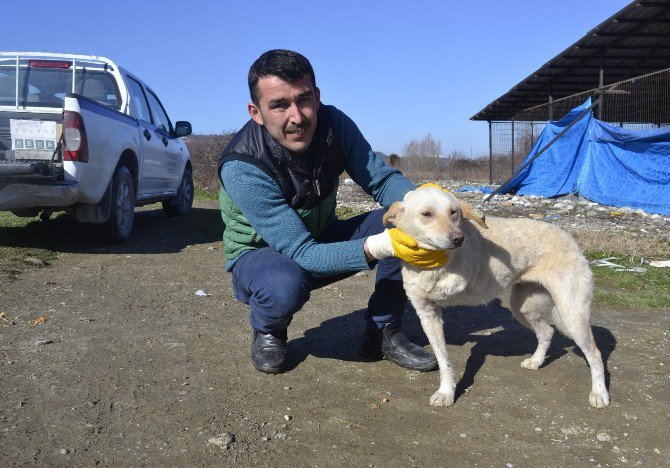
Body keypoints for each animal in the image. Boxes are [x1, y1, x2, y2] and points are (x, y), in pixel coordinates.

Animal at [386, 186, 612, 406]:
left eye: (453, 212)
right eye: (426, 214)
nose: (458, 239)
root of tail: (569, 237)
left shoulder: (459, 281)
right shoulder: (428, 314)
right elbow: (444, 360)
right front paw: (447, 392)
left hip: (571, 315)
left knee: (595, 354)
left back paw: (600, 394)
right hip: (522, 309)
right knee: (547, 331)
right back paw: (536, 361)